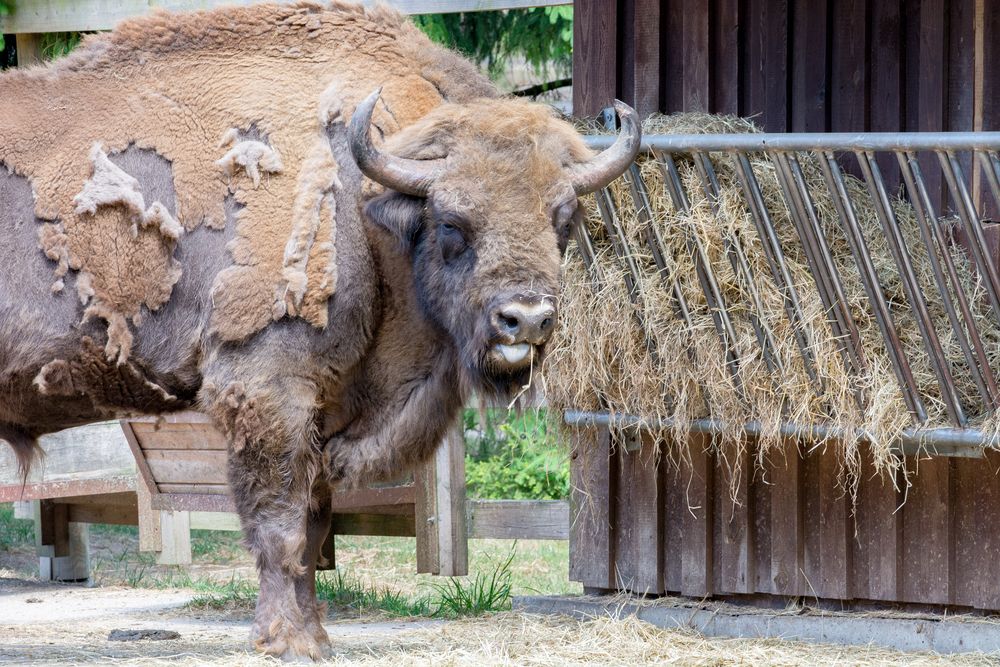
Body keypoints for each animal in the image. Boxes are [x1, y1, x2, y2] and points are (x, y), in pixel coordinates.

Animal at [0, 0, 640, 656]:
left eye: (563, 218)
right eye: (451, 223)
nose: (526, 318)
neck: (364, 206)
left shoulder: (323, 411)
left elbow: (312, 528)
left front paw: (316, 636)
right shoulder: (268, 392)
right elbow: (280, 526)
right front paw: (288, 641)